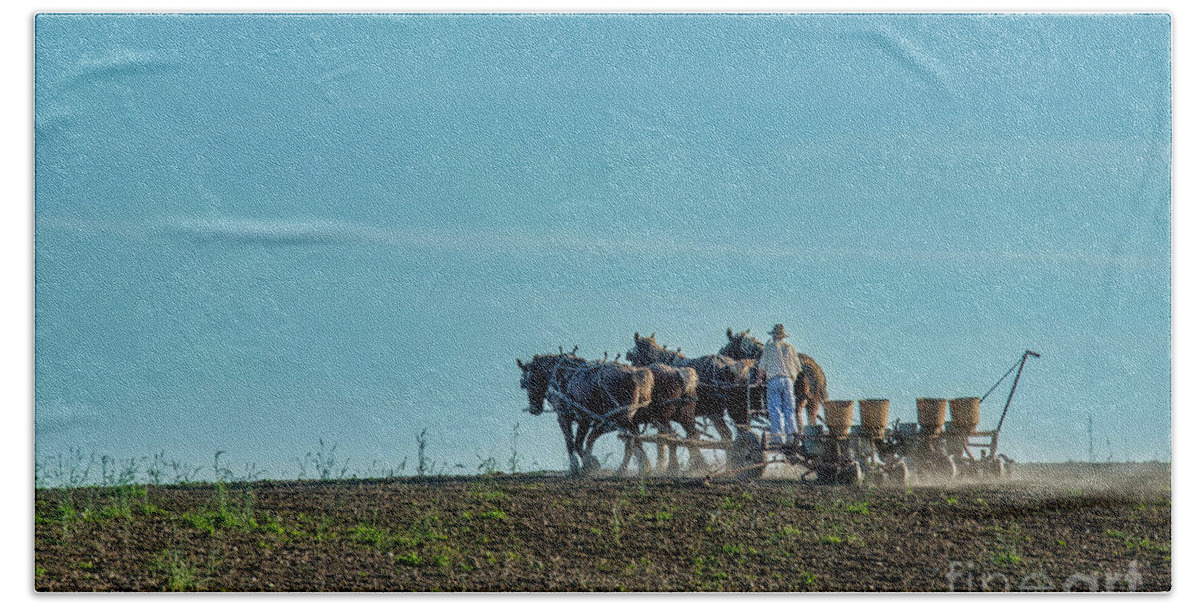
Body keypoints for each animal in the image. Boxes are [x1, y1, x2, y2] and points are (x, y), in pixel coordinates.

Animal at [511, 354, 652, 477]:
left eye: (531, 380)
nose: (534, 409)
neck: (559, 375)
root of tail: (634, 373)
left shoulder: (565, 417)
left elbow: (571, 441)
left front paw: (577, 467)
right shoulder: (584, 419)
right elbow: (579, 442)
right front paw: (590, 464)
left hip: (620, 417)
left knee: (631, 439)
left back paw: (635, 467)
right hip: (626, 417)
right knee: (632, 439)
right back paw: (638, 467)